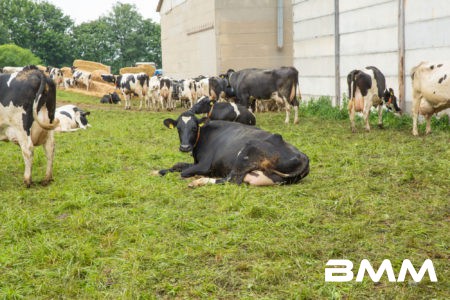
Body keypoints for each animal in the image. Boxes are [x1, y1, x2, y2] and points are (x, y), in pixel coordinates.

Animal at [158, 112, 310, 188]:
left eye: (194, 128)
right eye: (178, 128)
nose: (185, 147)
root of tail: (303, 157)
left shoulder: (204, 164)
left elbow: (183, 172)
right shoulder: (196, 162)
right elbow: (177, 165)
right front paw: (158, 171)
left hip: (247, 152)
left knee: (231, 180)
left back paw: (198, 181)